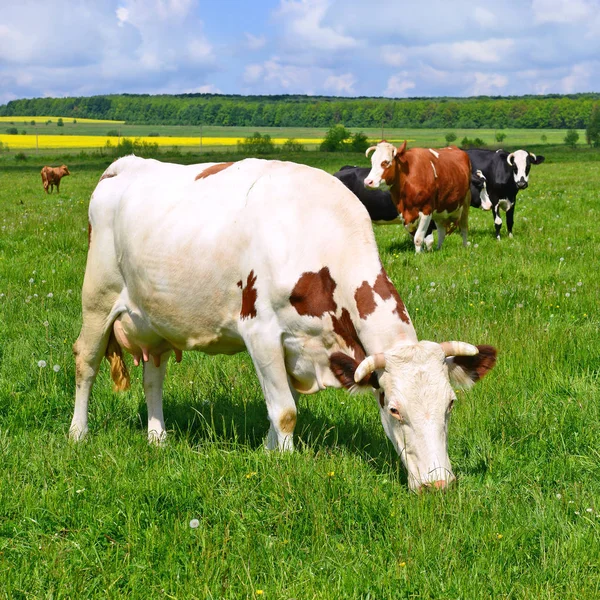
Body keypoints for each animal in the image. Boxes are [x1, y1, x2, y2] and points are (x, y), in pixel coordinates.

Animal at [71, 155, 496, 492]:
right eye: (393, 409)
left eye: (450, 404)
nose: (438, 484)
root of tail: (125, 164)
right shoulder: (259, 332)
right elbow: (285, 411)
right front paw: (284, 465)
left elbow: (280, 407)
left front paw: (268, 452)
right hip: (97, 299)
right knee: (85, 363)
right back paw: (78, 433)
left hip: (154, 318)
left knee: (153, 377)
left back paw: (158, 438)